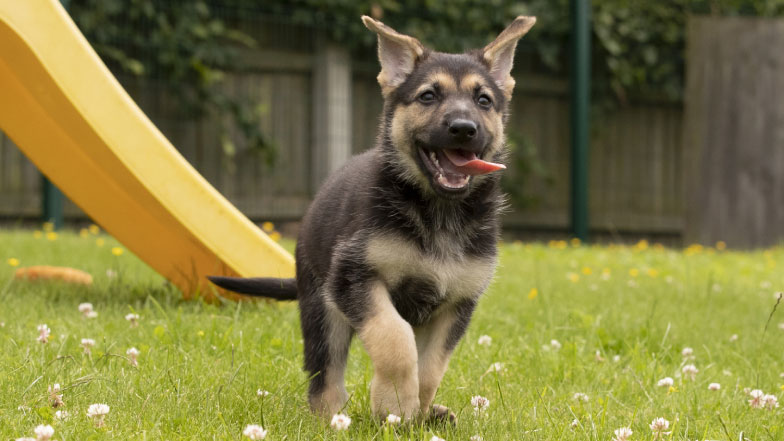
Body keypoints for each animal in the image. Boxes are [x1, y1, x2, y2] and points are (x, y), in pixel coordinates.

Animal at [211, 14, 536, 420]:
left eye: (483, 100)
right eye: (428, 96)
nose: (463, 128)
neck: (439, 211)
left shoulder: (456, 304)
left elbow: (431, 366)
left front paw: (416, 410)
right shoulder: (355, 279)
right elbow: (394, 339)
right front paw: (393, 402)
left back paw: (433, 413)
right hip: (323, 309)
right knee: (325, 373)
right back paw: (332, 417)